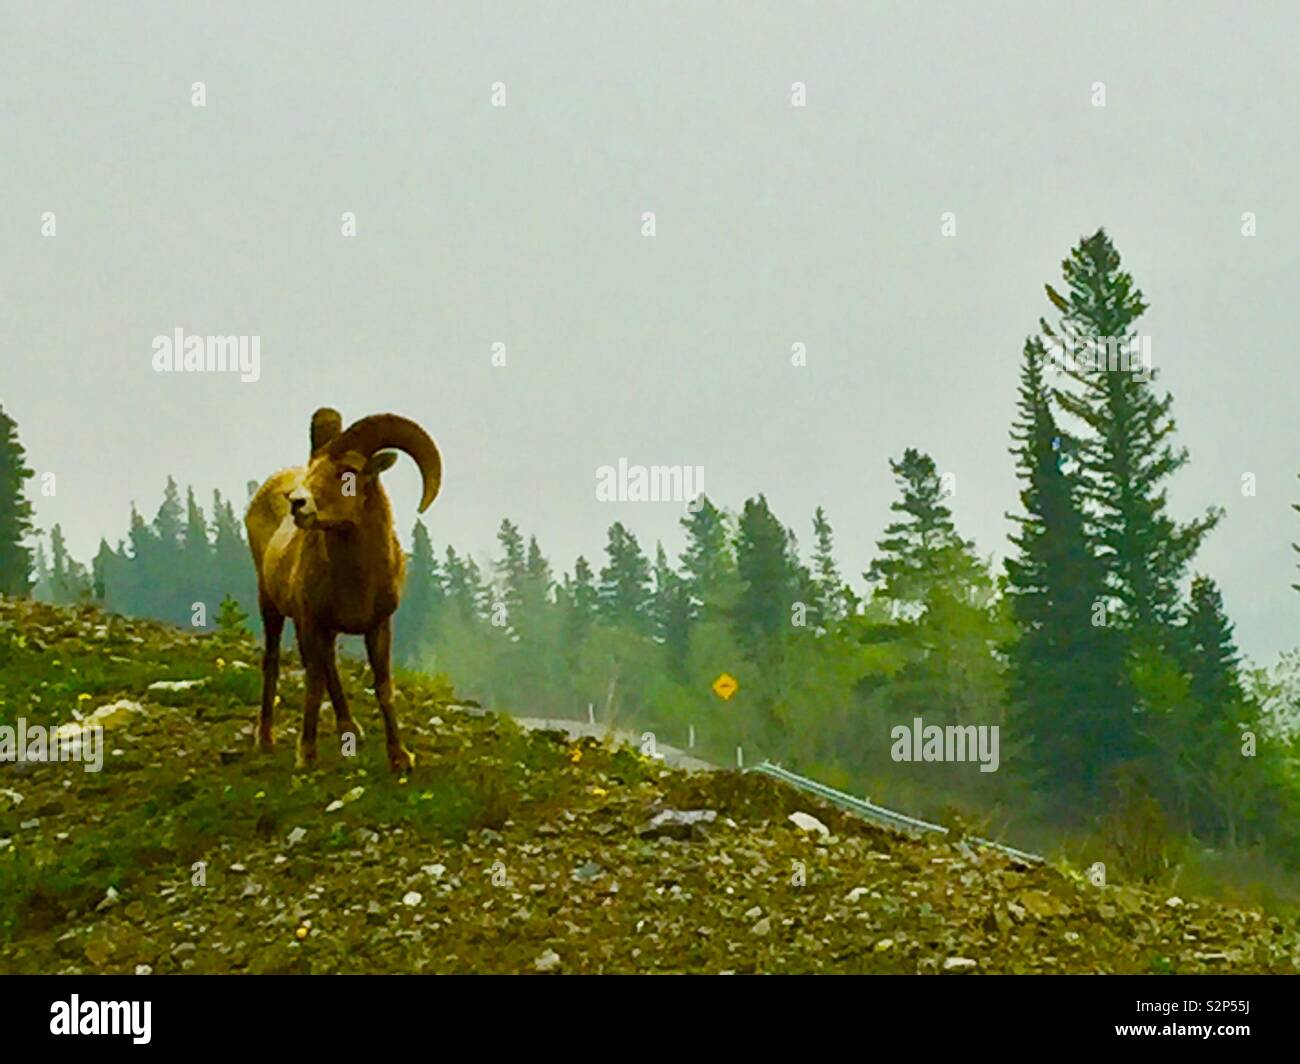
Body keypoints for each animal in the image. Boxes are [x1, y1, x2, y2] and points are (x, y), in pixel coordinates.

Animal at [245, 408, 442, 773]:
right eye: (313, 468)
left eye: (347, 472)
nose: (297, 503)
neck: (356, 581)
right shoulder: (312, 622)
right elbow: (313, 684)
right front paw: (306, 756)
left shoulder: (378, 626)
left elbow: (382, 686)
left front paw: (400, 758)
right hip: (271, 605)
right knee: (274, 661)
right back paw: (265, 739)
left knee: (329, 665)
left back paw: (350, 729)